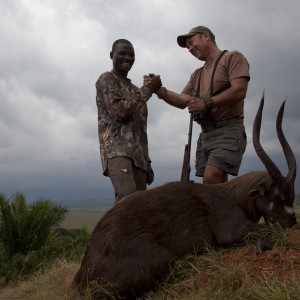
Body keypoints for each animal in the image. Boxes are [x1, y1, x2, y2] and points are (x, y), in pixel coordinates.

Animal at [73, 95, 298, 298]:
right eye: (278, 197)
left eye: (292, 197)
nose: (292, 222)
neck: (231, 196)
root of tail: (85, 270)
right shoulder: (233, 230)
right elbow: (270, 231)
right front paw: (260, 245)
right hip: (162, 258)